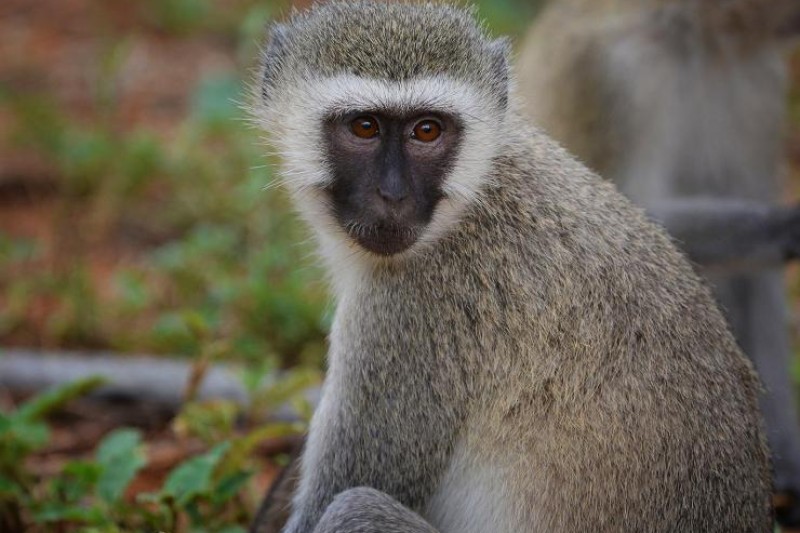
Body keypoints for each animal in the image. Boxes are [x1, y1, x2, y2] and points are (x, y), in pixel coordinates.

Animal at [251, 2, 772, 532]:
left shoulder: (412, 314)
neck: (475, 196)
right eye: (364, 127)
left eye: (427, 130)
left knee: (354, 507)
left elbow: (329, 503)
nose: (392, 195)